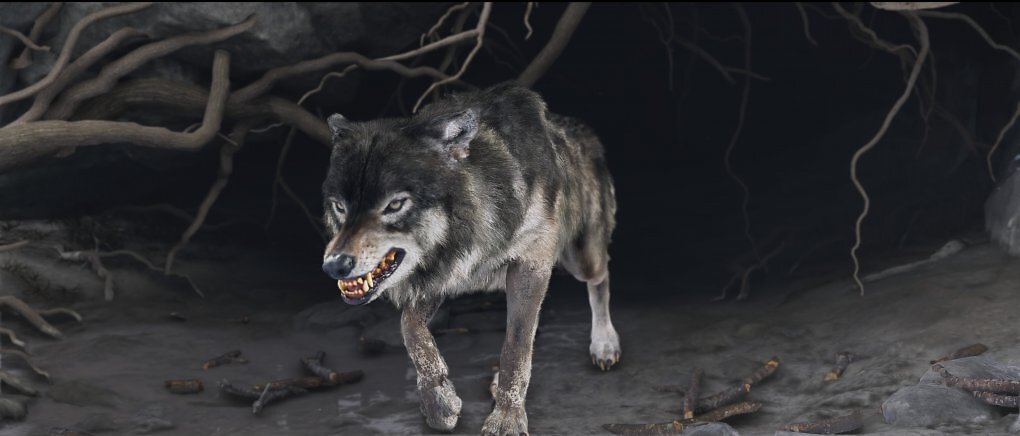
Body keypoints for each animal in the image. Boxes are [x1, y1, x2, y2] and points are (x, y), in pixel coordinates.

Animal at [320, 83, 620, 435]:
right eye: (340, 206)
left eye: (394, 205)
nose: (334, 265)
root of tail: (578, 127)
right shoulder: (442, 275)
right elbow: (410, 329)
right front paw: (439, 402)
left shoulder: (531, 264)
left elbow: (516, 347)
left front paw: (506, 420)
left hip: (582, 259)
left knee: (600, 278)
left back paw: (605, 344)